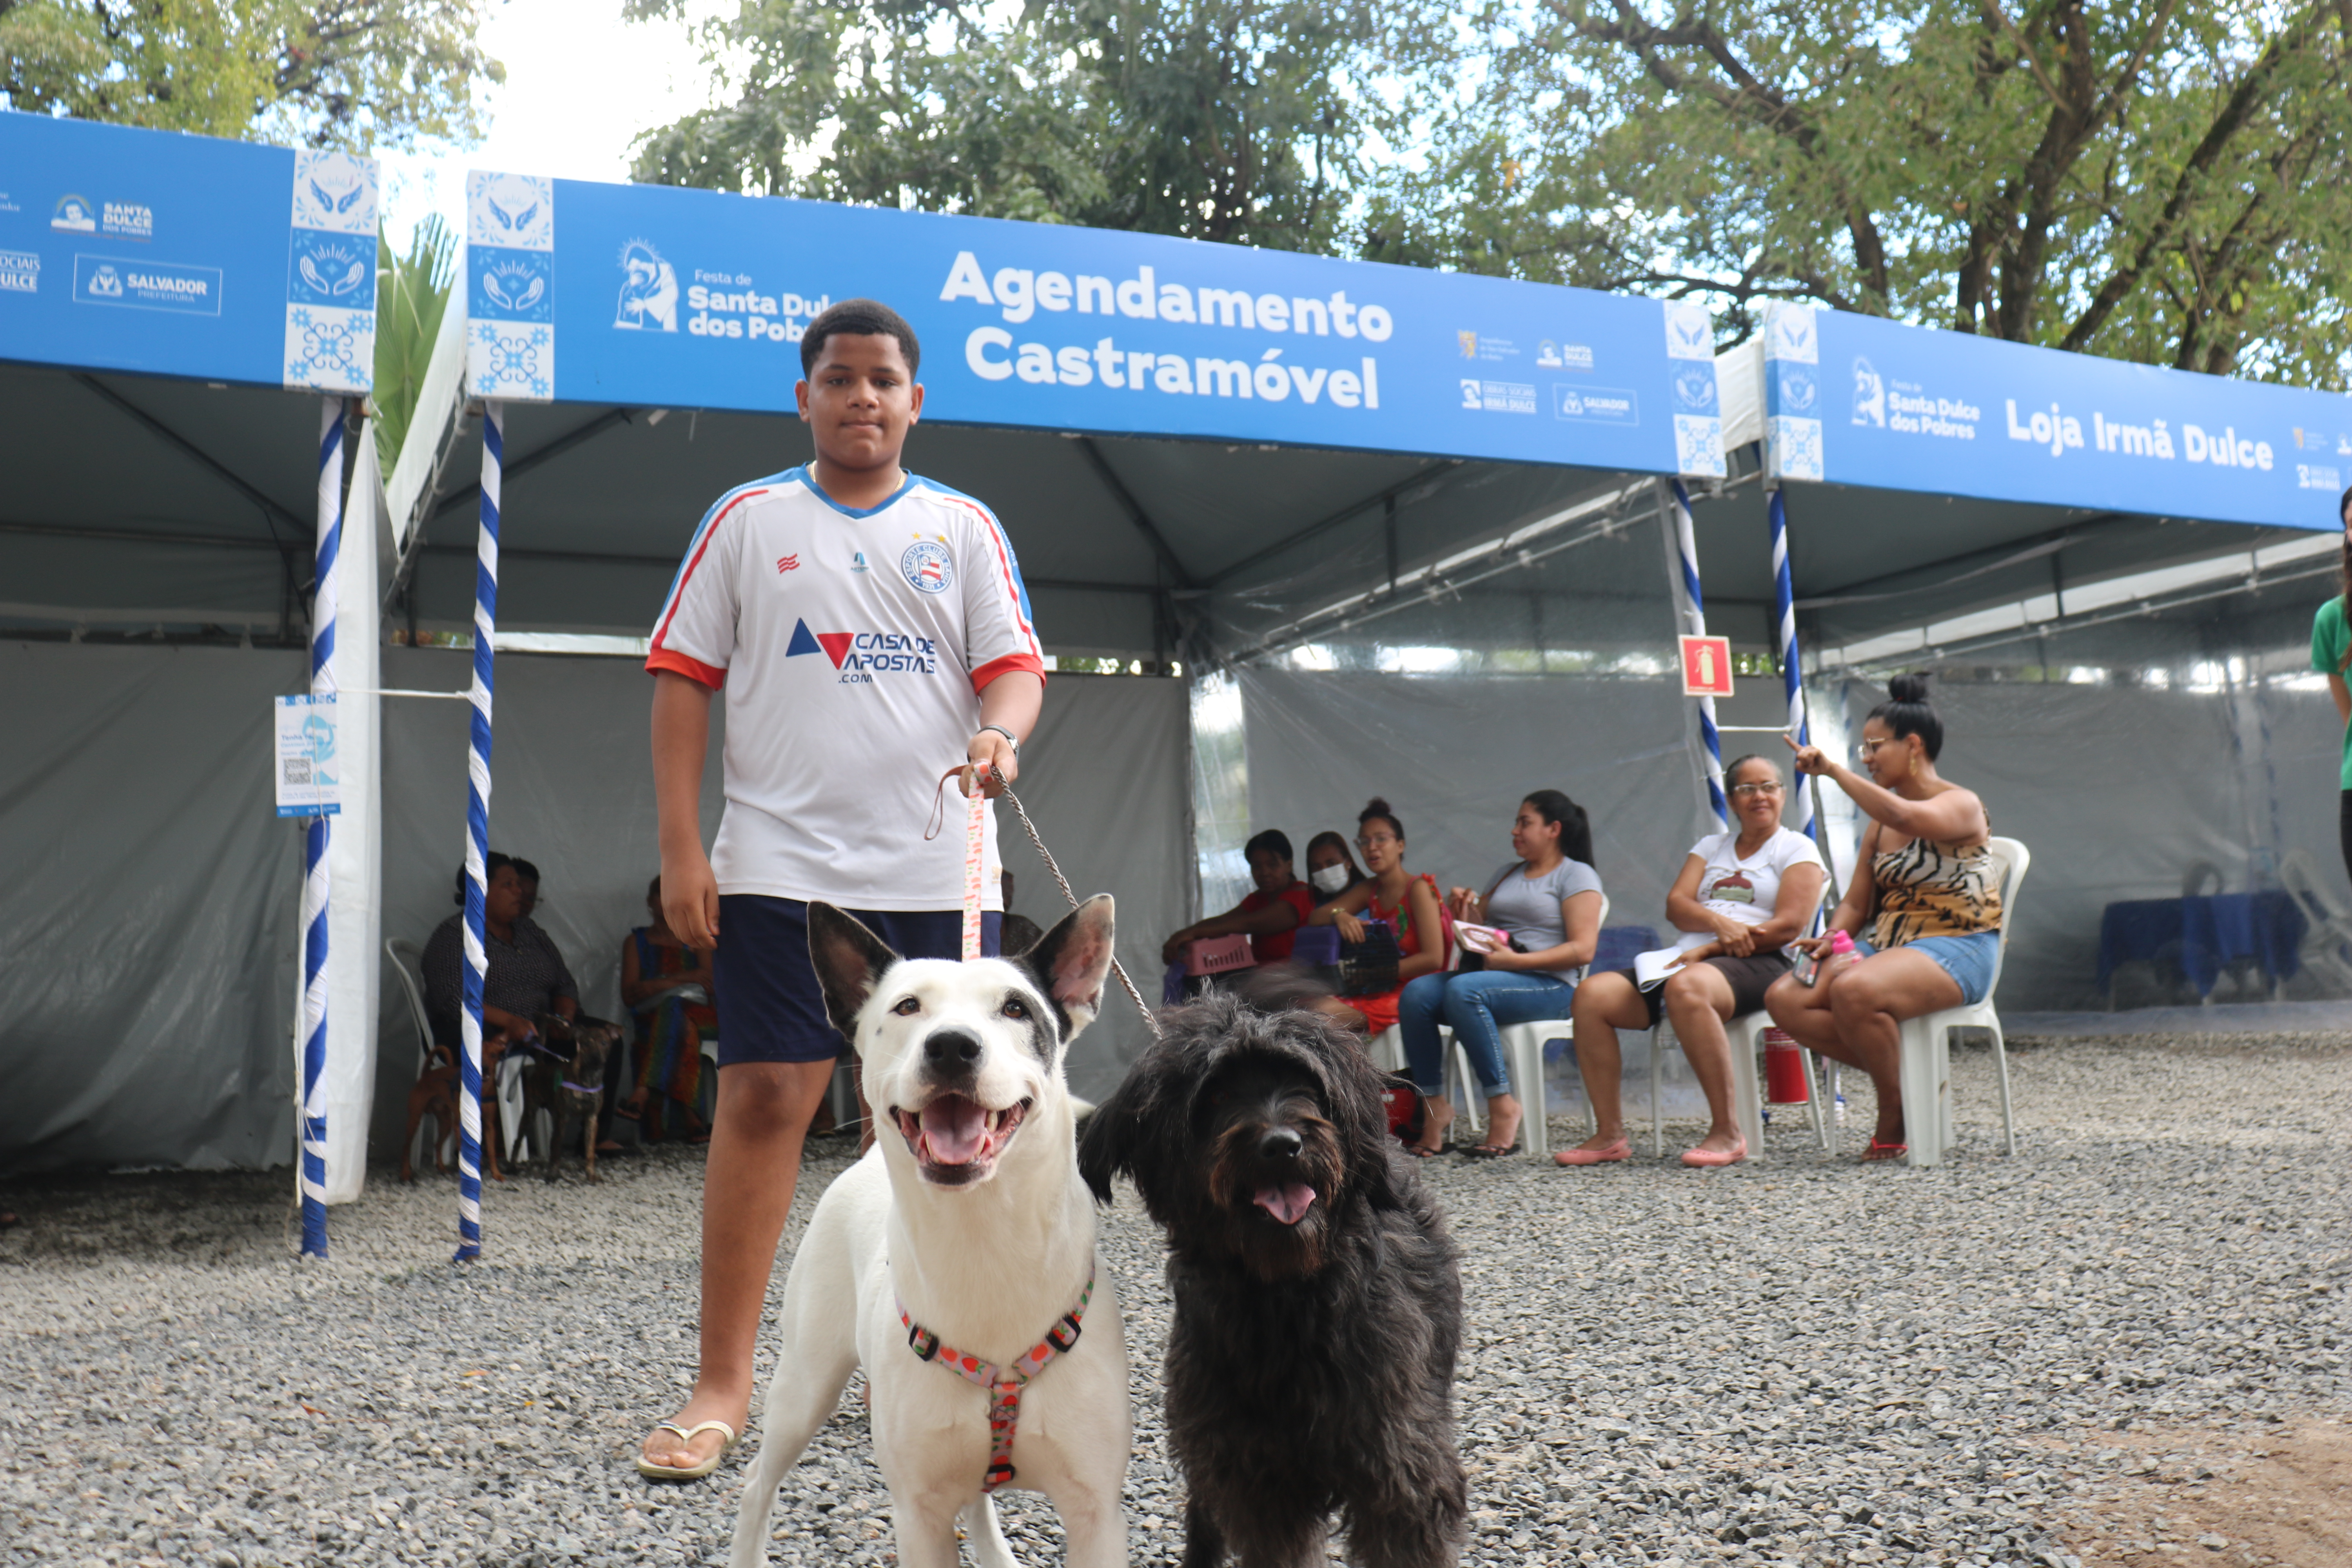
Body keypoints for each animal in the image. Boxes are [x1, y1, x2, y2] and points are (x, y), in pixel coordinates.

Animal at [734, 893, 1138, 1568]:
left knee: (977, 1498)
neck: (985, 1240)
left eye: (1016, 1007)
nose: (951, 1046)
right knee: (757, 1479)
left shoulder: (1096, 1514)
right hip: (805, 1381)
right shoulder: (917, 1513)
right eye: (907, 1007)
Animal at [1077, 992, 1458, 1568]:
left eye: (1304, 1084)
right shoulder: (1253, 1479)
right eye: (1215, 1096)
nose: (1283, 1144)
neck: (1283, 1297)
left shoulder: (1397, 1466)